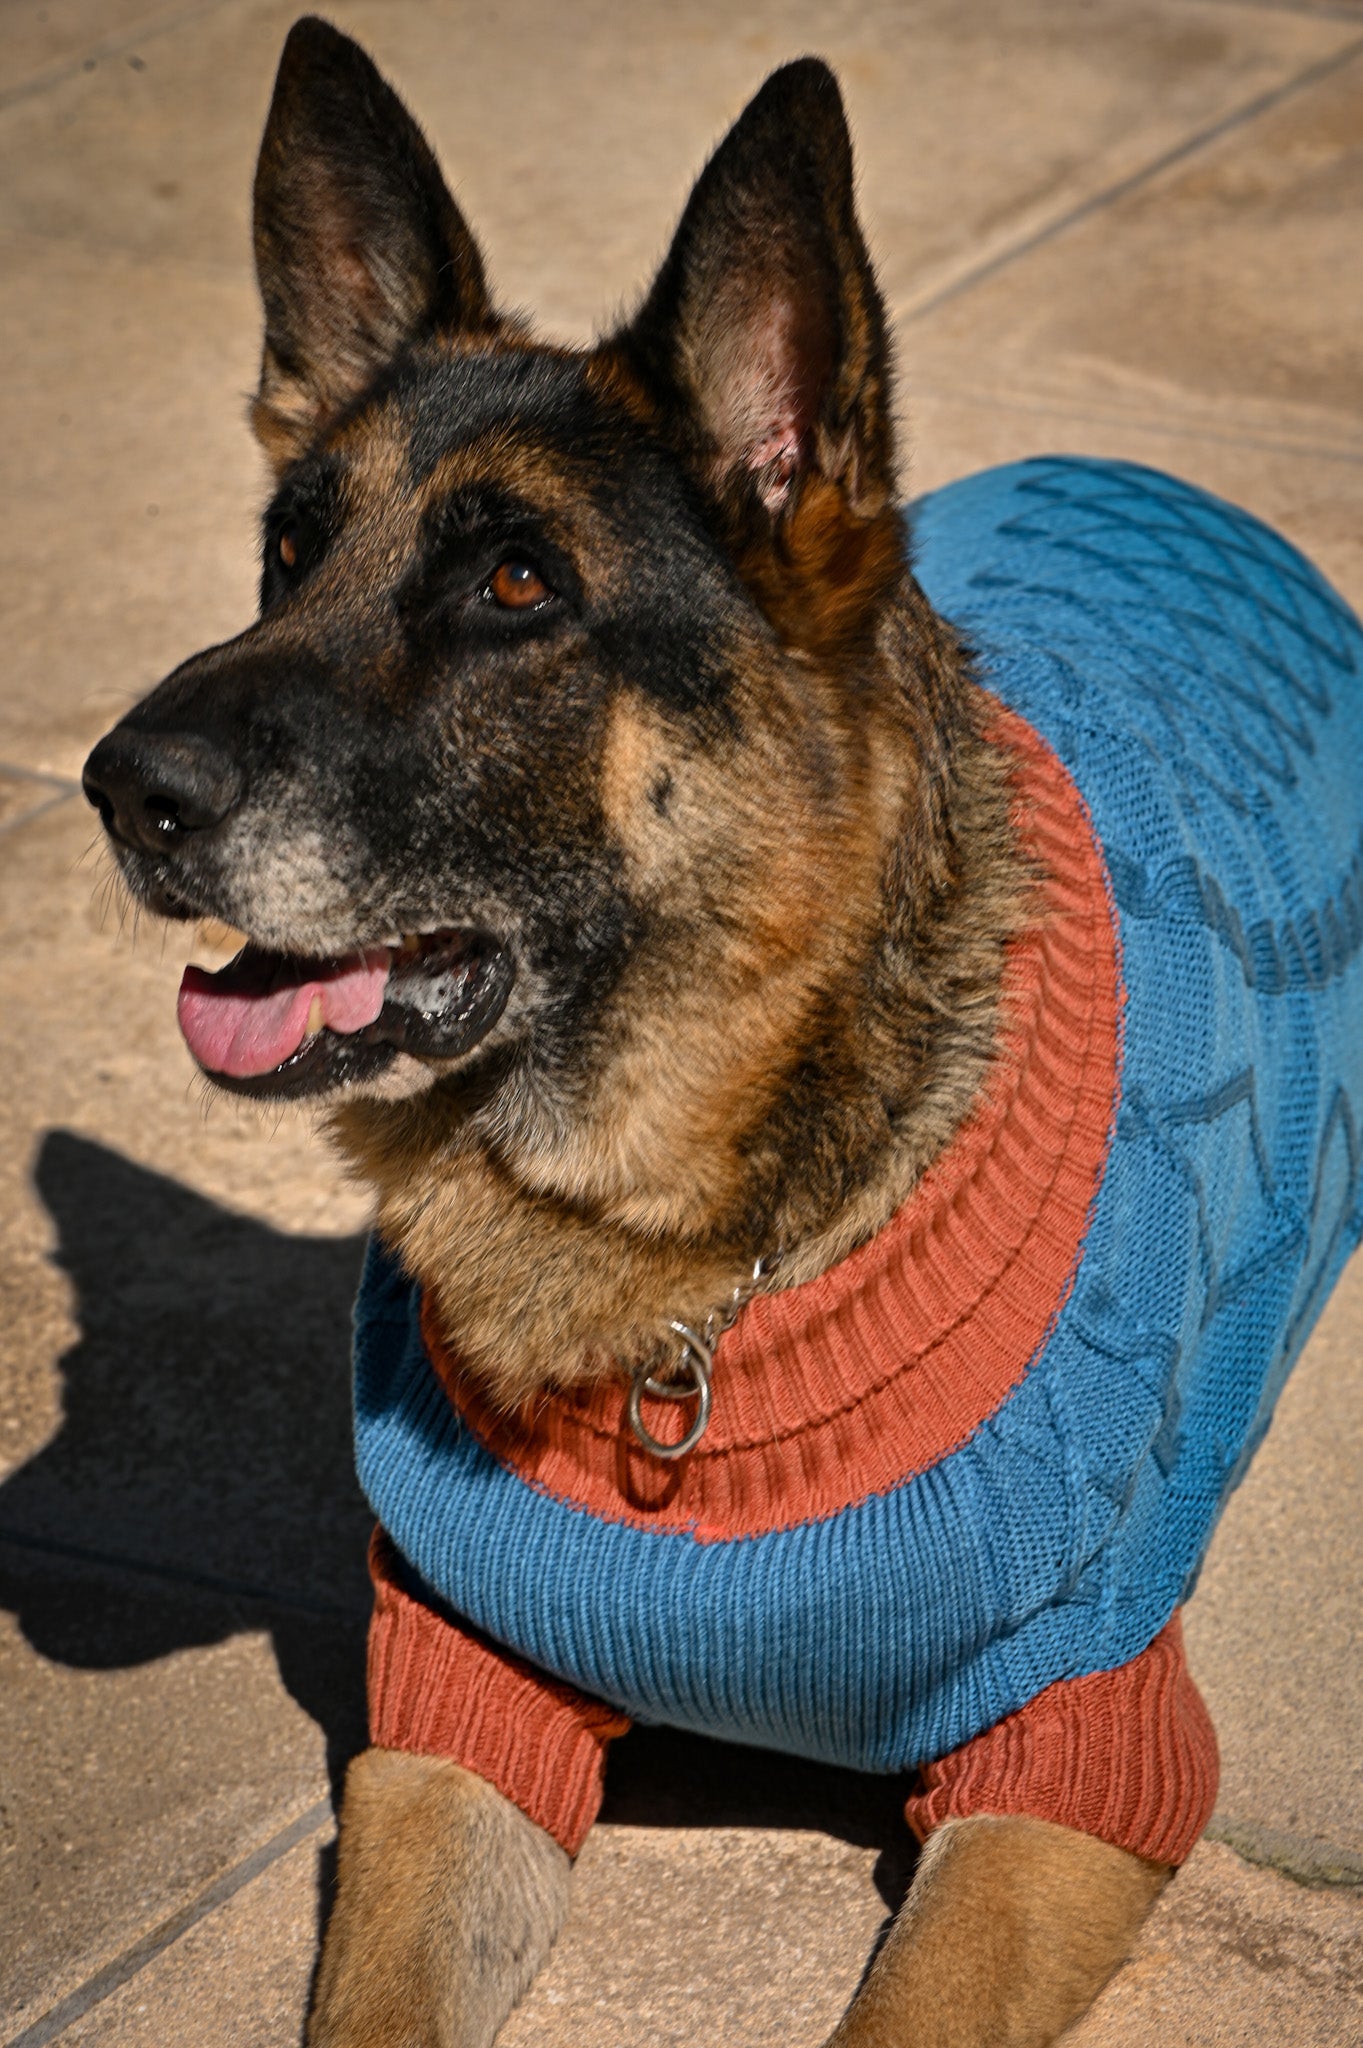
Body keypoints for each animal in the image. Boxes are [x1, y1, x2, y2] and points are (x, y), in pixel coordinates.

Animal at [84, 19, 1186, 2048]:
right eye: (287, 550)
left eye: (515, 584)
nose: (127, 790)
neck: (684, 1272)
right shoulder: (456, 1728)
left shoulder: (1072, 1763)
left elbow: (913, 2007)